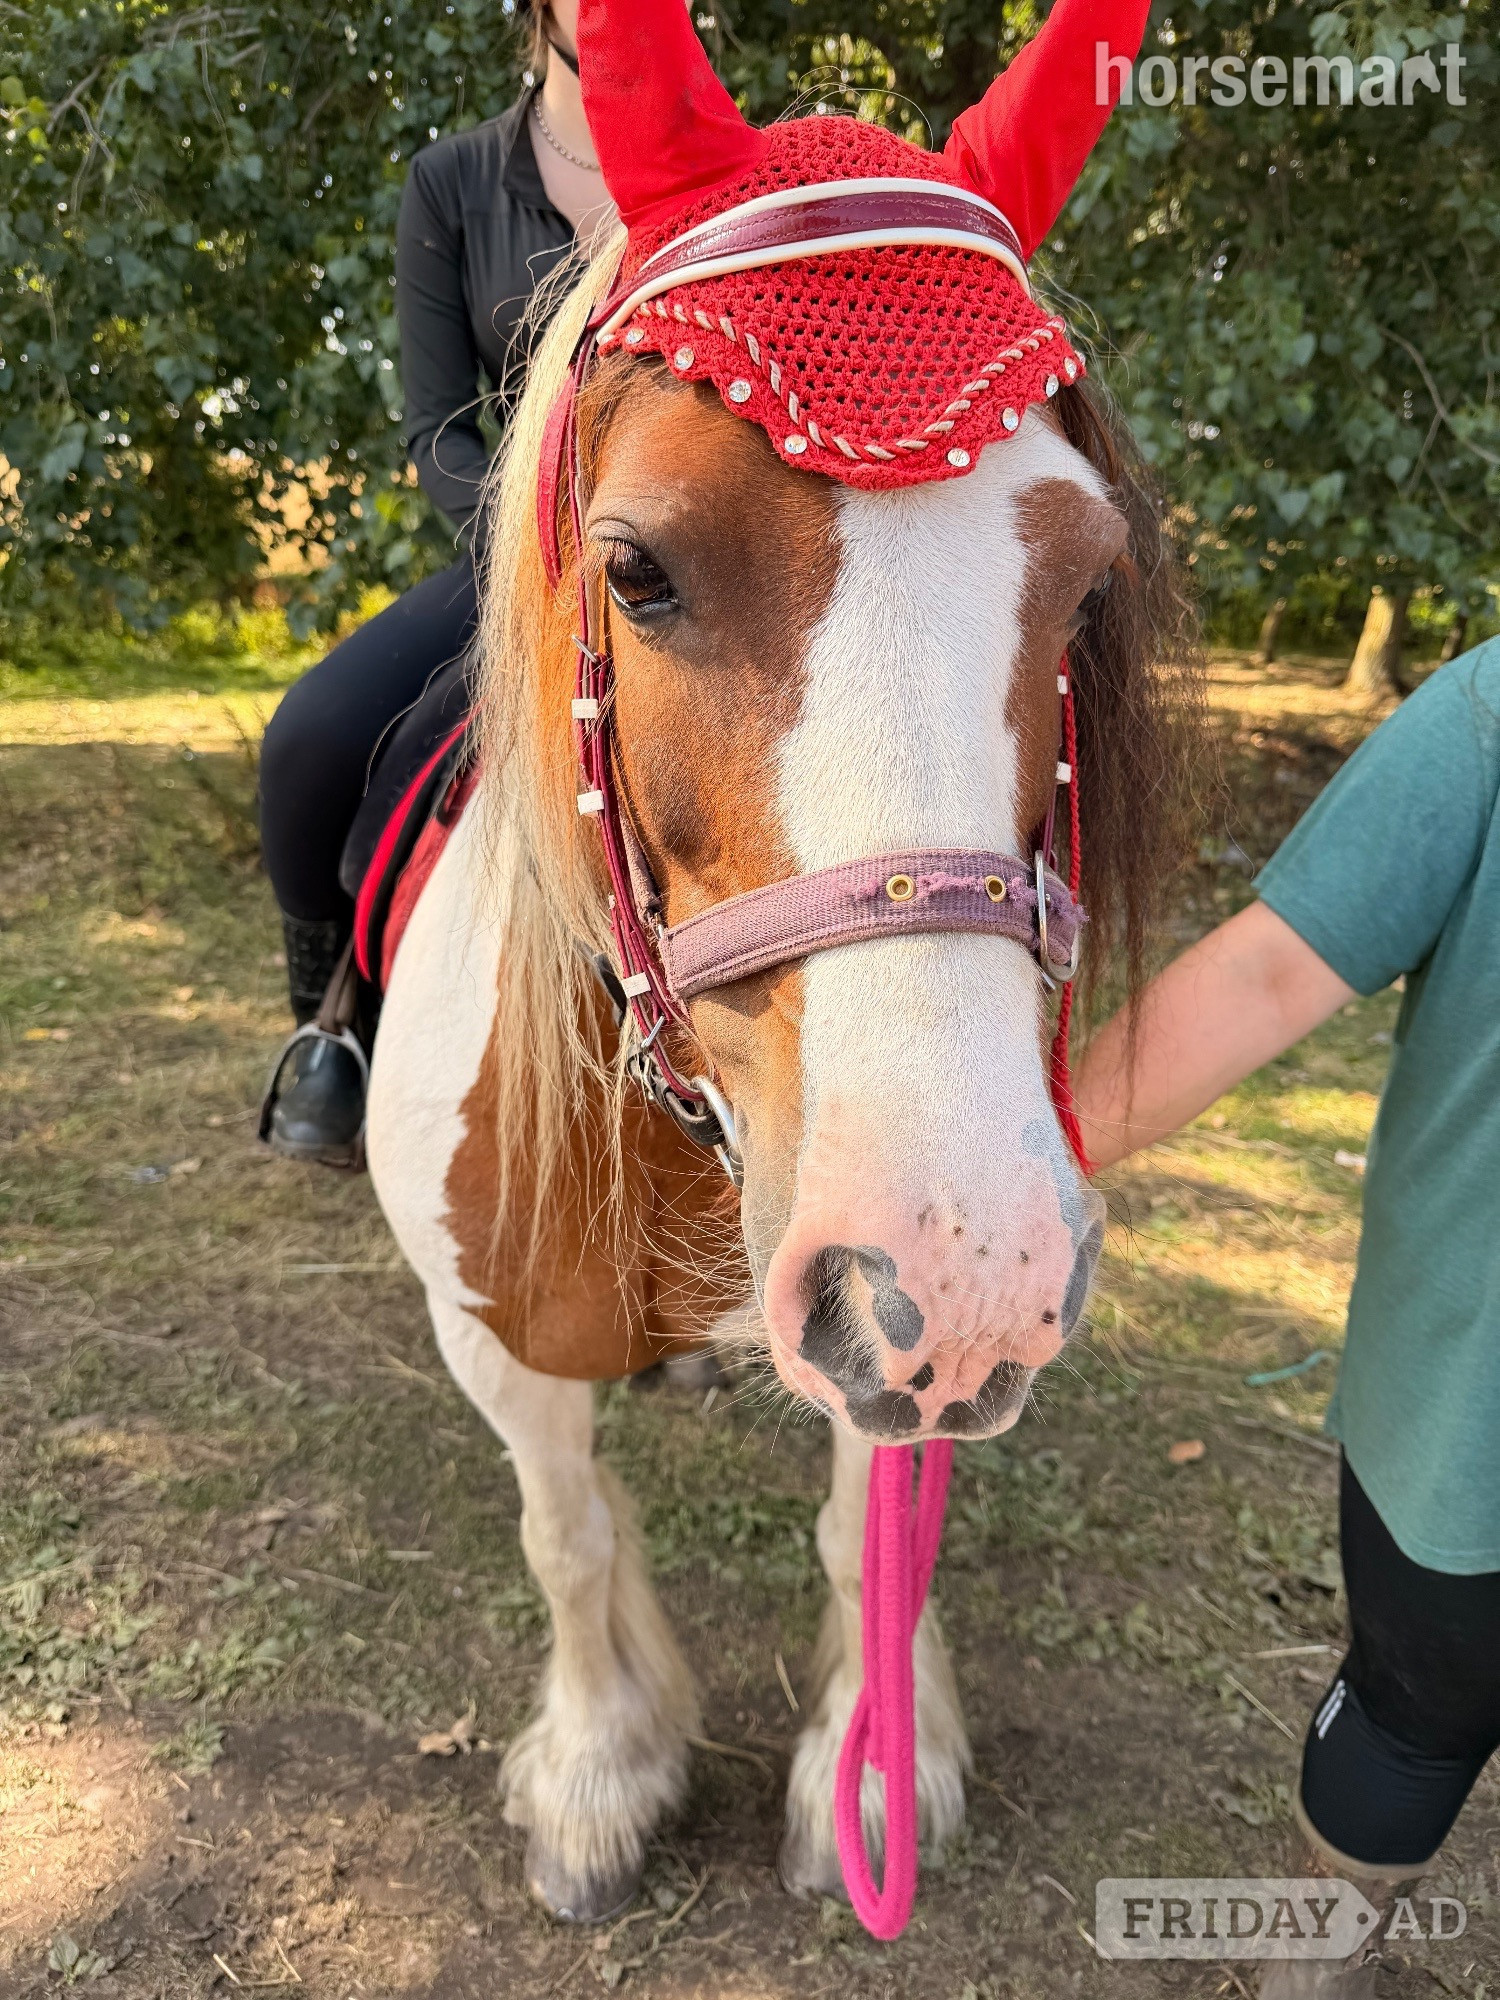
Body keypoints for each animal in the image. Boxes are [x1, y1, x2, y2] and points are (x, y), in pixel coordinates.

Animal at [365, 0, 1197, 1926]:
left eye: (1088, 587)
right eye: (638, 567)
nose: (964, 1266)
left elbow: (856, 1531)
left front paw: (872, 1772)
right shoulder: (491, 1340)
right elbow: (568, 1529)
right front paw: (600, 1772)